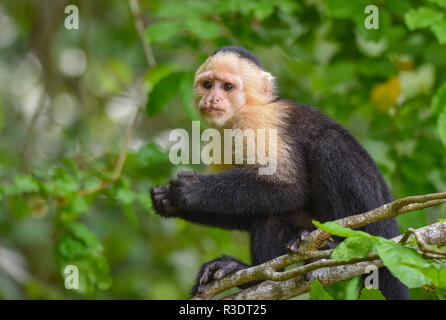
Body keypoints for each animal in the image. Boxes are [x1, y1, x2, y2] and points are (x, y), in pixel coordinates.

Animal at [152, 45, 410, 300]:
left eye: (227, 87)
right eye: (207, 84)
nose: (211, 98)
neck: (245, 109)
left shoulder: (257, 120)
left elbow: (289, 186)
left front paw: (191, 190)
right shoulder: (220, 137)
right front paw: (169, 202)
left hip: (376, 222)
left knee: (330, 145)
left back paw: (330, 247)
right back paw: (251, 276)